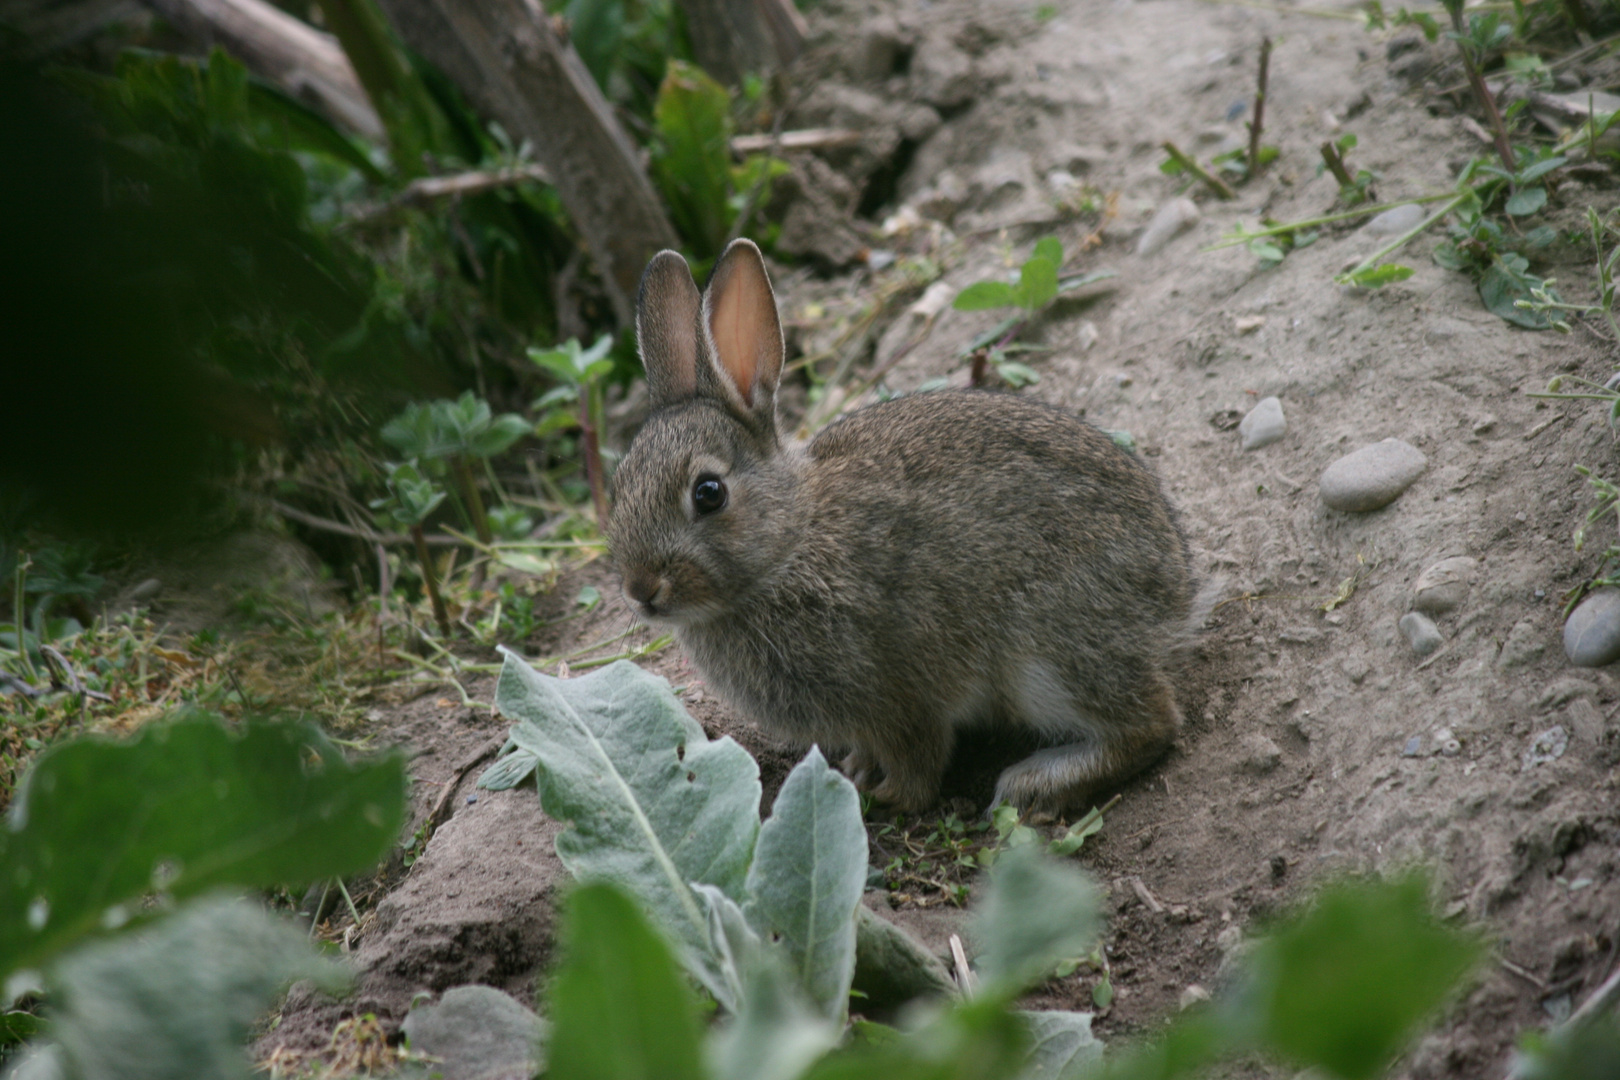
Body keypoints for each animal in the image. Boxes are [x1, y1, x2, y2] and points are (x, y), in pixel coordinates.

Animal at [609, 236, 1205, 809]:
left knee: (1153, 724)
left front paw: (886, 794)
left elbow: (920, 760)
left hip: (1047, 651)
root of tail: (1176, 594)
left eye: (709, 494)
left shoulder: (899, 690)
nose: (641, 590)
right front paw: (857, 771)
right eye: (618, 487)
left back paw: (1035, 784)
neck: (791, 543)